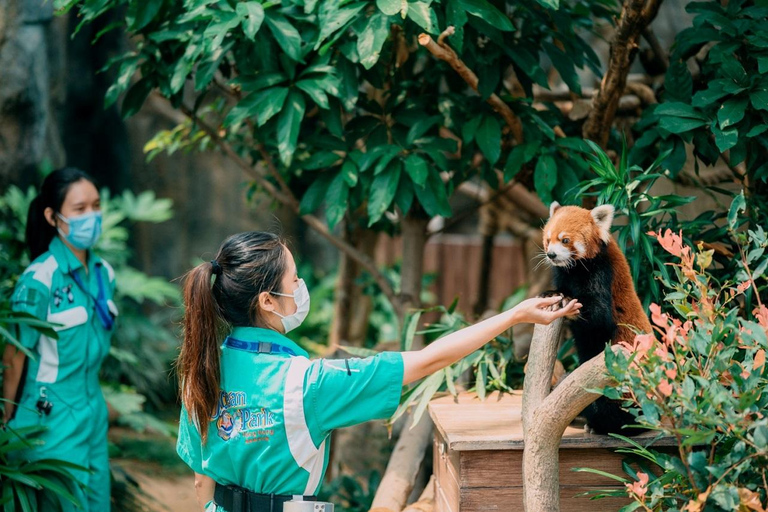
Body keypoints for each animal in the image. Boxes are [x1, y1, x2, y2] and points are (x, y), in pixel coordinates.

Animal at [544, 202, 652, 434]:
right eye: (548, 239)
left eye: (565, 240)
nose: (551, 255)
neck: (576, 269)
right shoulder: (563, 274)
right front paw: (551, 294)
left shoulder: (601, 272)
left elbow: (600, 317)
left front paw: (570, 304)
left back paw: (600, 424)